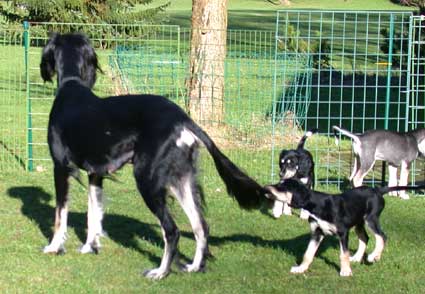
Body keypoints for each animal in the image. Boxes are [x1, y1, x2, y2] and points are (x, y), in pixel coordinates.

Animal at [39, 32, 264, 280]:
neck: (71, 86)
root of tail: (183, 120)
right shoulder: (95, 174)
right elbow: (94, 212)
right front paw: (90, 246)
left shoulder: (60, 166)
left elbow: (60, 213)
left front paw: (54, 246)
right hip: (180, 179)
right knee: (200, 226)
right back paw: (194, 266)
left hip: (147, 179)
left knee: (172, 230)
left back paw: (161, 272)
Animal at [264, 178, 420, 276]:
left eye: (282, 187)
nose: (265, 188)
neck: (318, 205)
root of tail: (377, 190)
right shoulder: (316, 233)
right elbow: (308, 253)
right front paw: (301, 269)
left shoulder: (343, 233)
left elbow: (343, 254)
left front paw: (345, 271)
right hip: (359, 223)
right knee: (365, 238)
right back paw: (357, 258)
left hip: (371, 219)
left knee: (382, 236)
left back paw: (373, 256)